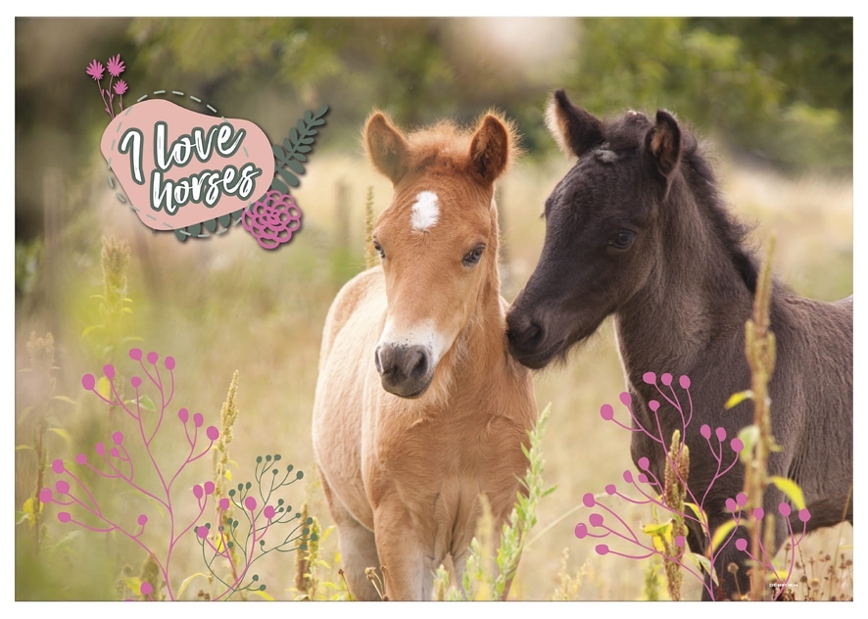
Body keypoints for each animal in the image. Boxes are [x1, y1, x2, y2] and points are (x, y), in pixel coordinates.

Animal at [312, 111, 537, 600]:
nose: (401, 363)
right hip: (355, 537)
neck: (458, 415)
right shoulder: (400, 531)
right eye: (380, 244)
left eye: (475, 251)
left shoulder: (495, 526)